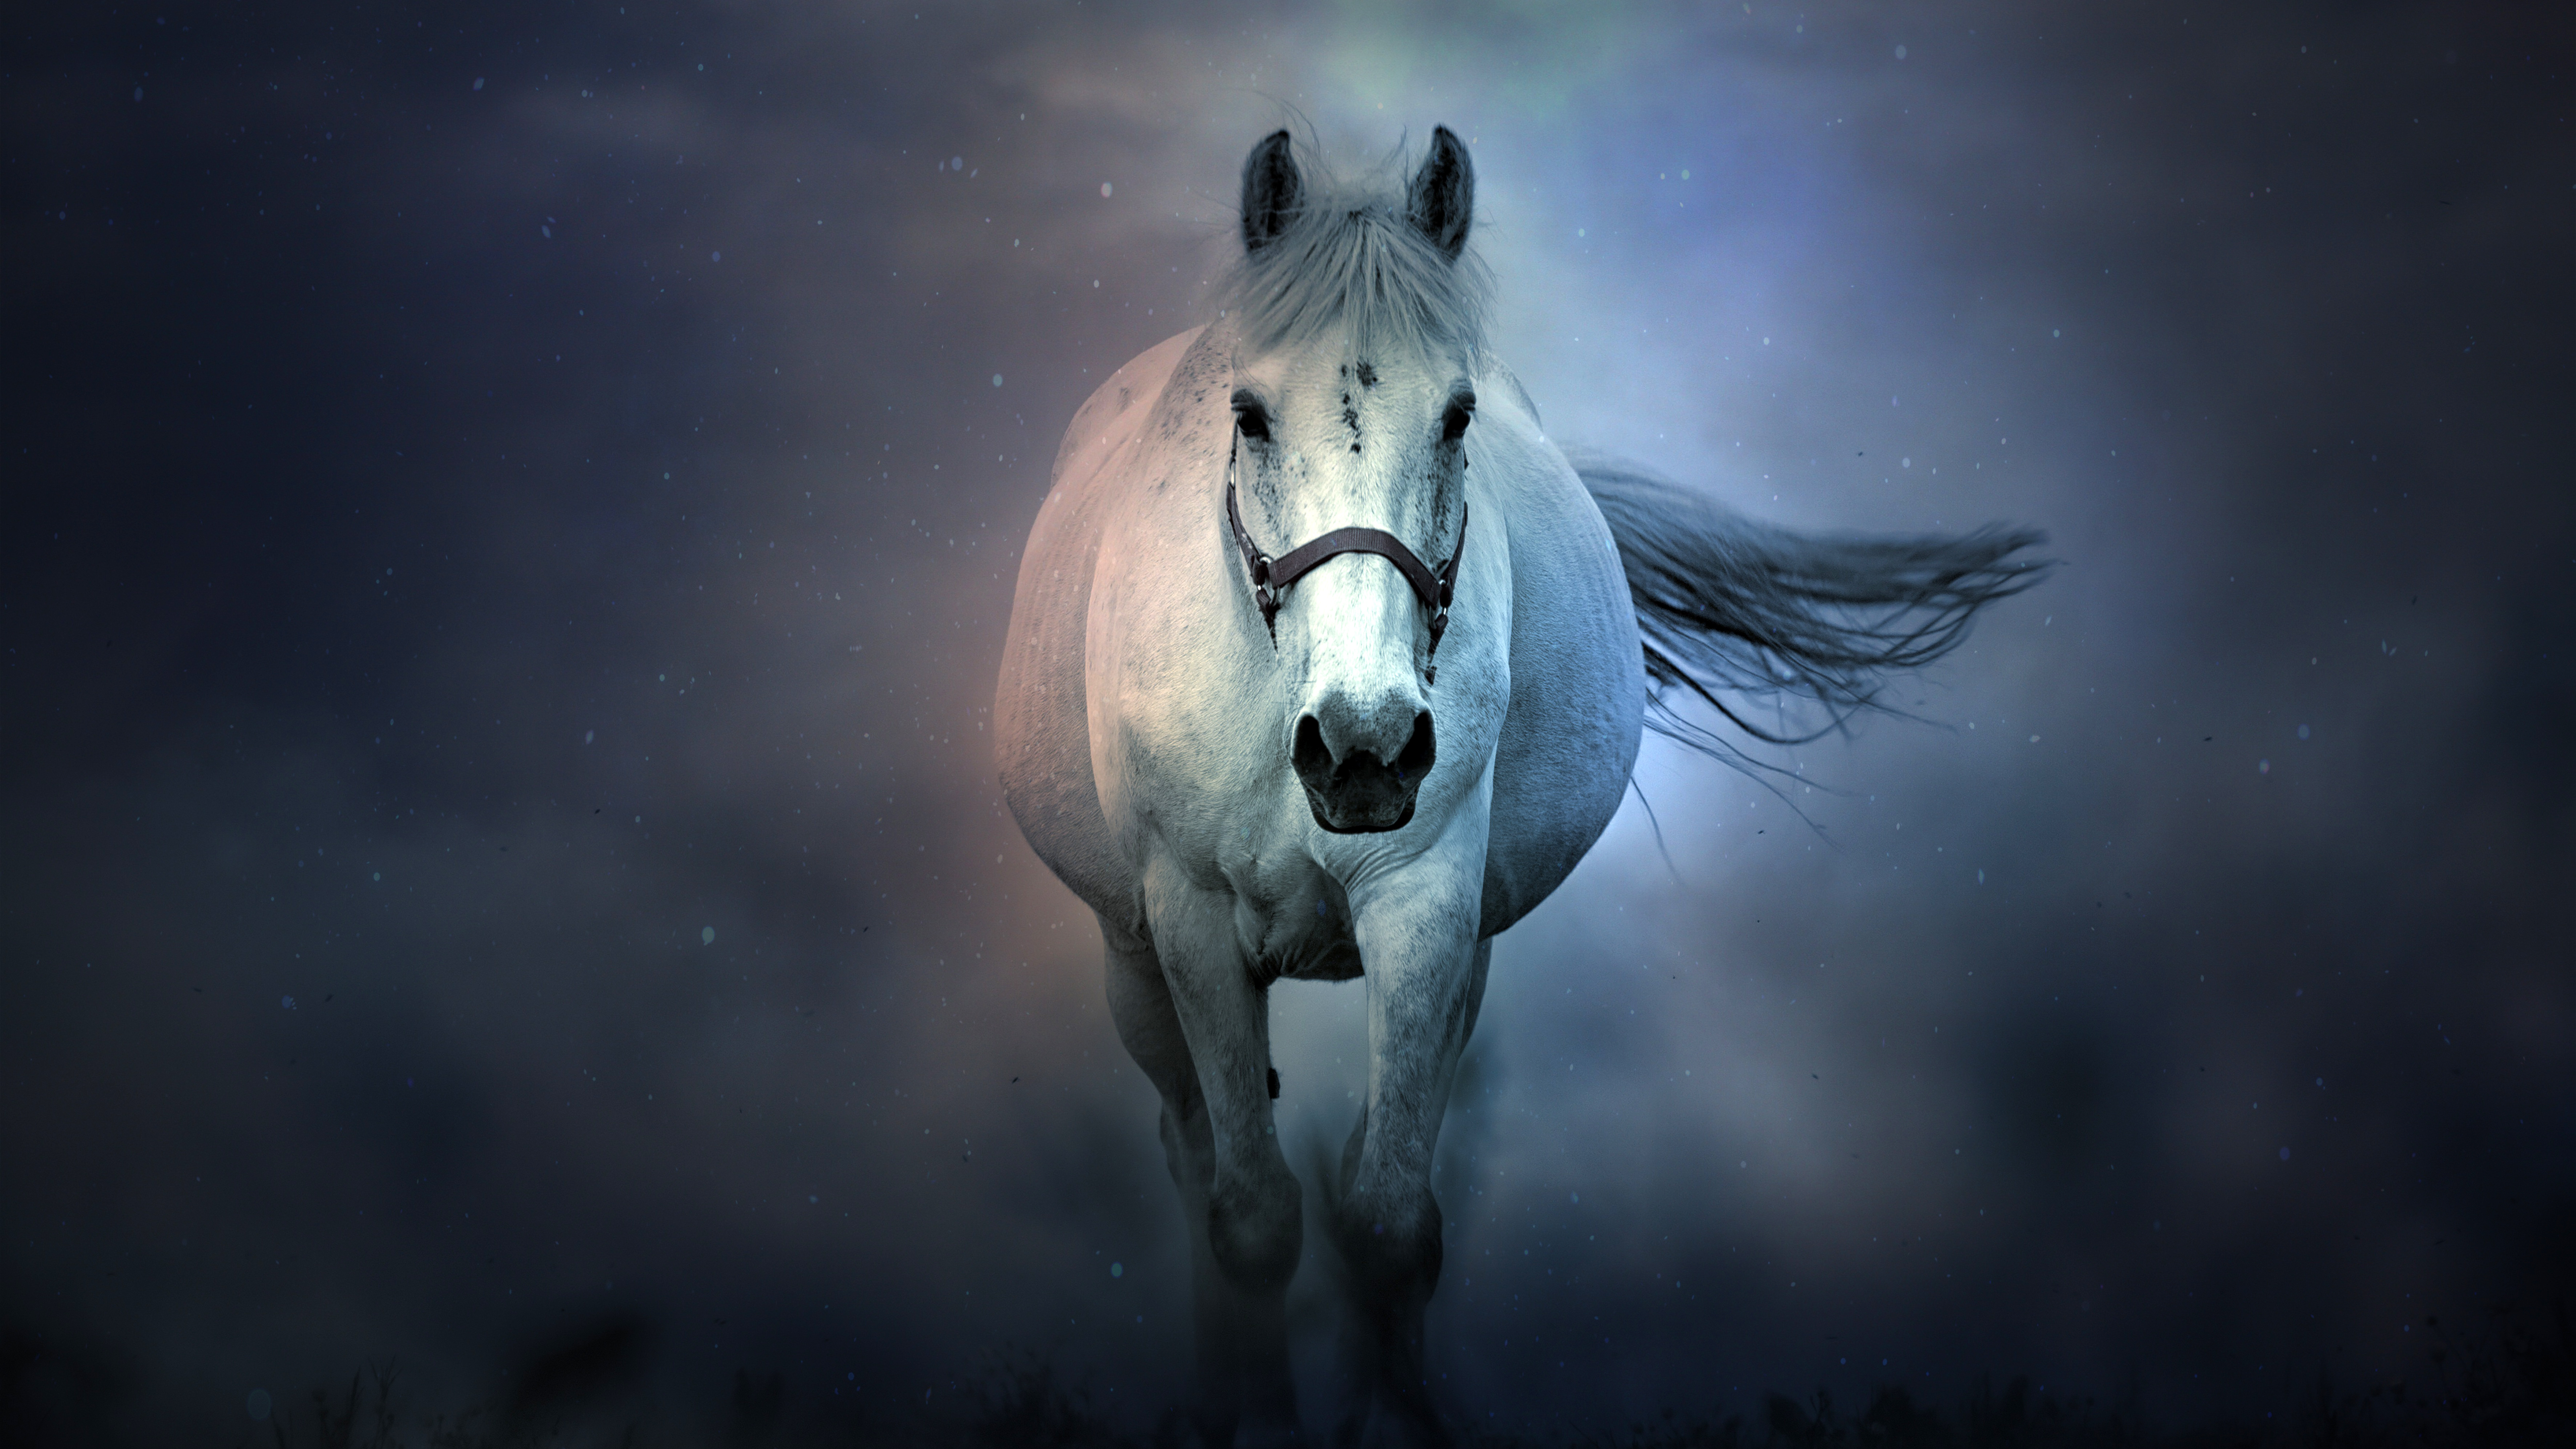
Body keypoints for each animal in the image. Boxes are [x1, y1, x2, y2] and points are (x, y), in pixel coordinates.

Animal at [995, 126, 2046, 1448]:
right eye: (1248, 414)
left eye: (1458, 416)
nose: (1363, 748)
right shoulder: (1190, 925)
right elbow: (1254, 1219)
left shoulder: (1428, 906)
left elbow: (1388, 1221)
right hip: (1131, 960)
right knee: (1194, 1163)